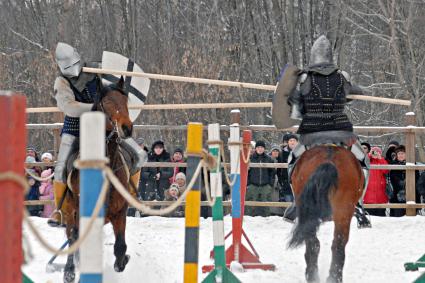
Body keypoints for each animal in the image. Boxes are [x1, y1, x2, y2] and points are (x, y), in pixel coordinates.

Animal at [61, 77, 132, 283]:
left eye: (125, 100)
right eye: (107, 102)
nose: (127, 128)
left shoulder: (120, 212)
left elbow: (120, 246)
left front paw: (122, 261)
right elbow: (76, 238)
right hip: (69, 211)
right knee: (72, 236)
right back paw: (69, 270)